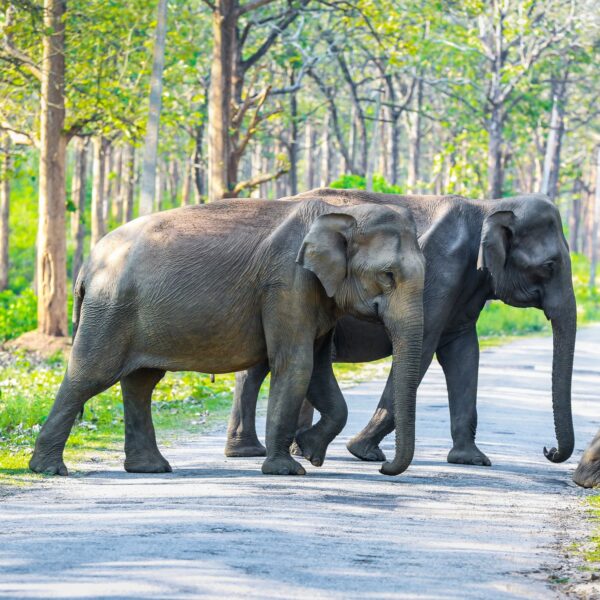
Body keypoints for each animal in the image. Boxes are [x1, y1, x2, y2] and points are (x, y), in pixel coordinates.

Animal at [28, 197, 426, 478]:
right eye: (388, 275)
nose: (383, 467)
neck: (341, 212)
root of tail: (87, 264)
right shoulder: (287, 283)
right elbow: (295, 364)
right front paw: (287, 470)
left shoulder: (318, 297)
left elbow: (318, 372)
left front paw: (311, 451)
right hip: (110, 309)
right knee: (90, 374)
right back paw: (49, 469)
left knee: (141, 383)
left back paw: (151, 468)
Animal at [226, 189, 576, 468]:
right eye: (550, 266)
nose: (548, 450)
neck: (488, 206)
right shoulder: (441, 273)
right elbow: (424, 348)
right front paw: (364, 452)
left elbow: (463, 352)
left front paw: (472, 460)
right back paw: (259, 452)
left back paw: (259, 450)